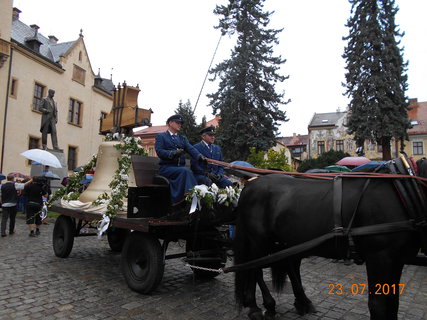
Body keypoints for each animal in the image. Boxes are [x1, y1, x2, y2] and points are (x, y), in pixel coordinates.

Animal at [234, 159, 427, 320]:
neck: (402, 193)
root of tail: (250, 185)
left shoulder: (397, 260)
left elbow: (393, 303)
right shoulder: (380, 257)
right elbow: (378, 305)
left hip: (287, 241)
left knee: (285, 265)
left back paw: (300, 302)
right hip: (259, 241)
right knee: (254, 268)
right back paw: (259, 306)